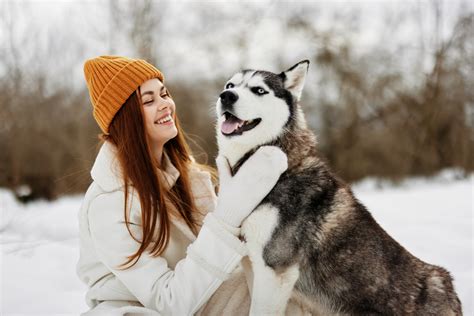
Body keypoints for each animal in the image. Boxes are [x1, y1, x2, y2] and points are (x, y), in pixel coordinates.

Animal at [216, 60, 462, 314]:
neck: (281, 167)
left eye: (259, 90)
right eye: (230, 85)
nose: (226, 96)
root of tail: (450, 293)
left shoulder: (274, 271)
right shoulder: (254, 266)